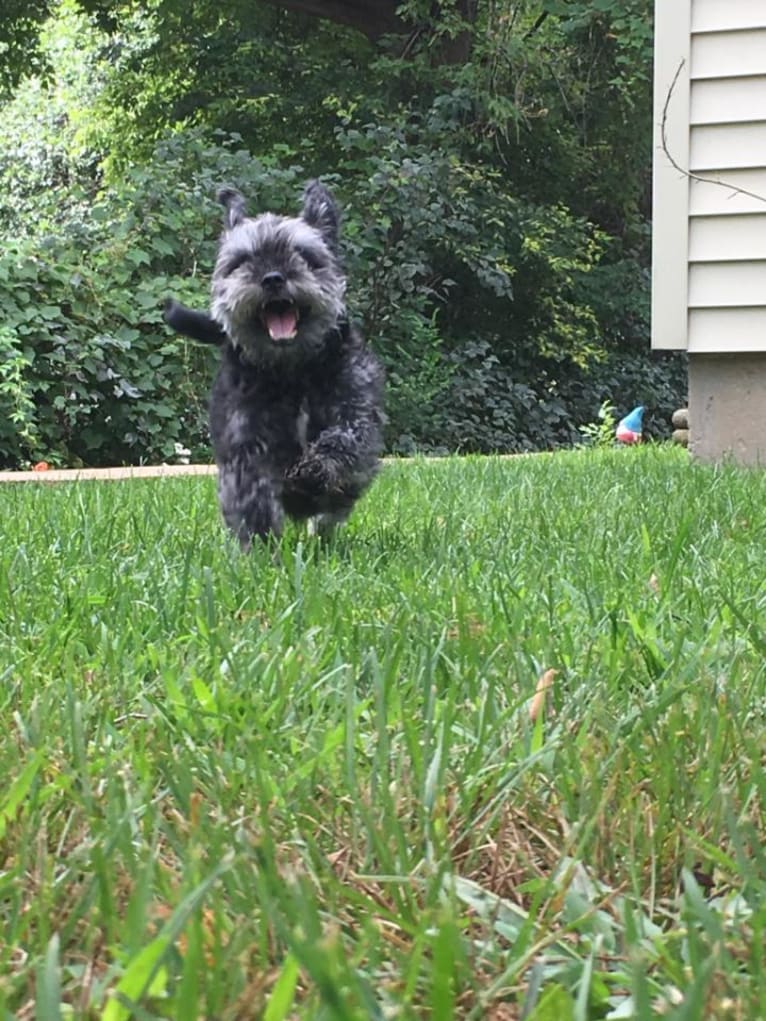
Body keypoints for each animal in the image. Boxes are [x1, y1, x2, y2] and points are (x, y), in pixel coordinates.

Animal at [165, 179, 386, 547]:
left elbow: (342, 443)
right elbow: (251, 497)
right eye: (242, 260)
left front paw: (316, 469)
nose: (272, 278)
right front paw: (259, 550)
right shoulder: (245, 442)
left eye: (304, 255)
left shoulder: (354, 414)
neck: (291, 369)